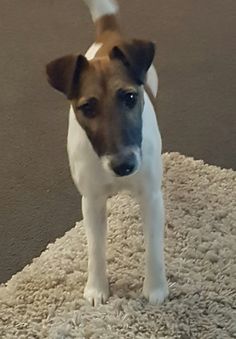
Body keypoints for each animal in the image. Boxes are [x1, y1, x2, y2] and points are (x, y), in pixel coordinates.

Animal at [45, 0, 168, 308]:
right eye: (88, 108)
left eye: (130, 97)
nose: (124, 166)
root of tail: (109, 33)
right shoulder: (92, 201)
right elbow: (96, 249)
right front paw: (97, 288)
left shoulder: (151, 197)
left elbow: (154, 246)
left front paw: (156, 288)